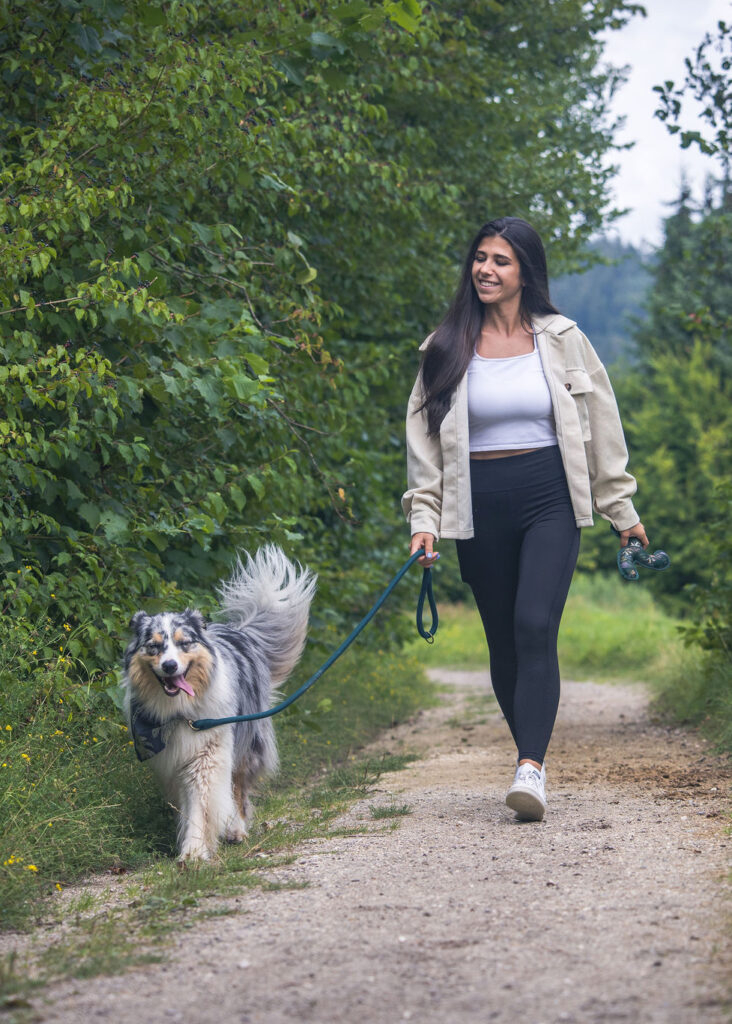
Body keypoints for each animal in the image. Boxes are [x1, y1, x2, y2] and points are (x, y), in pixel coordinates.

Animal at [122, 548, 315, 860]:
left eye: (184, 643)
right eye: (154, 646)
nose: (169, 665)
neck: (181, 711)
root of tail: (240, 631)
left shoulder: (208, 753)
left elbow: (203, 802)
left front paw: (194, 851)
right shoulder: (172, 761)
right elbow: (187, 803)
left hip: (246, 742)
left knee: (238, 788)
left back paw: (236, 829)